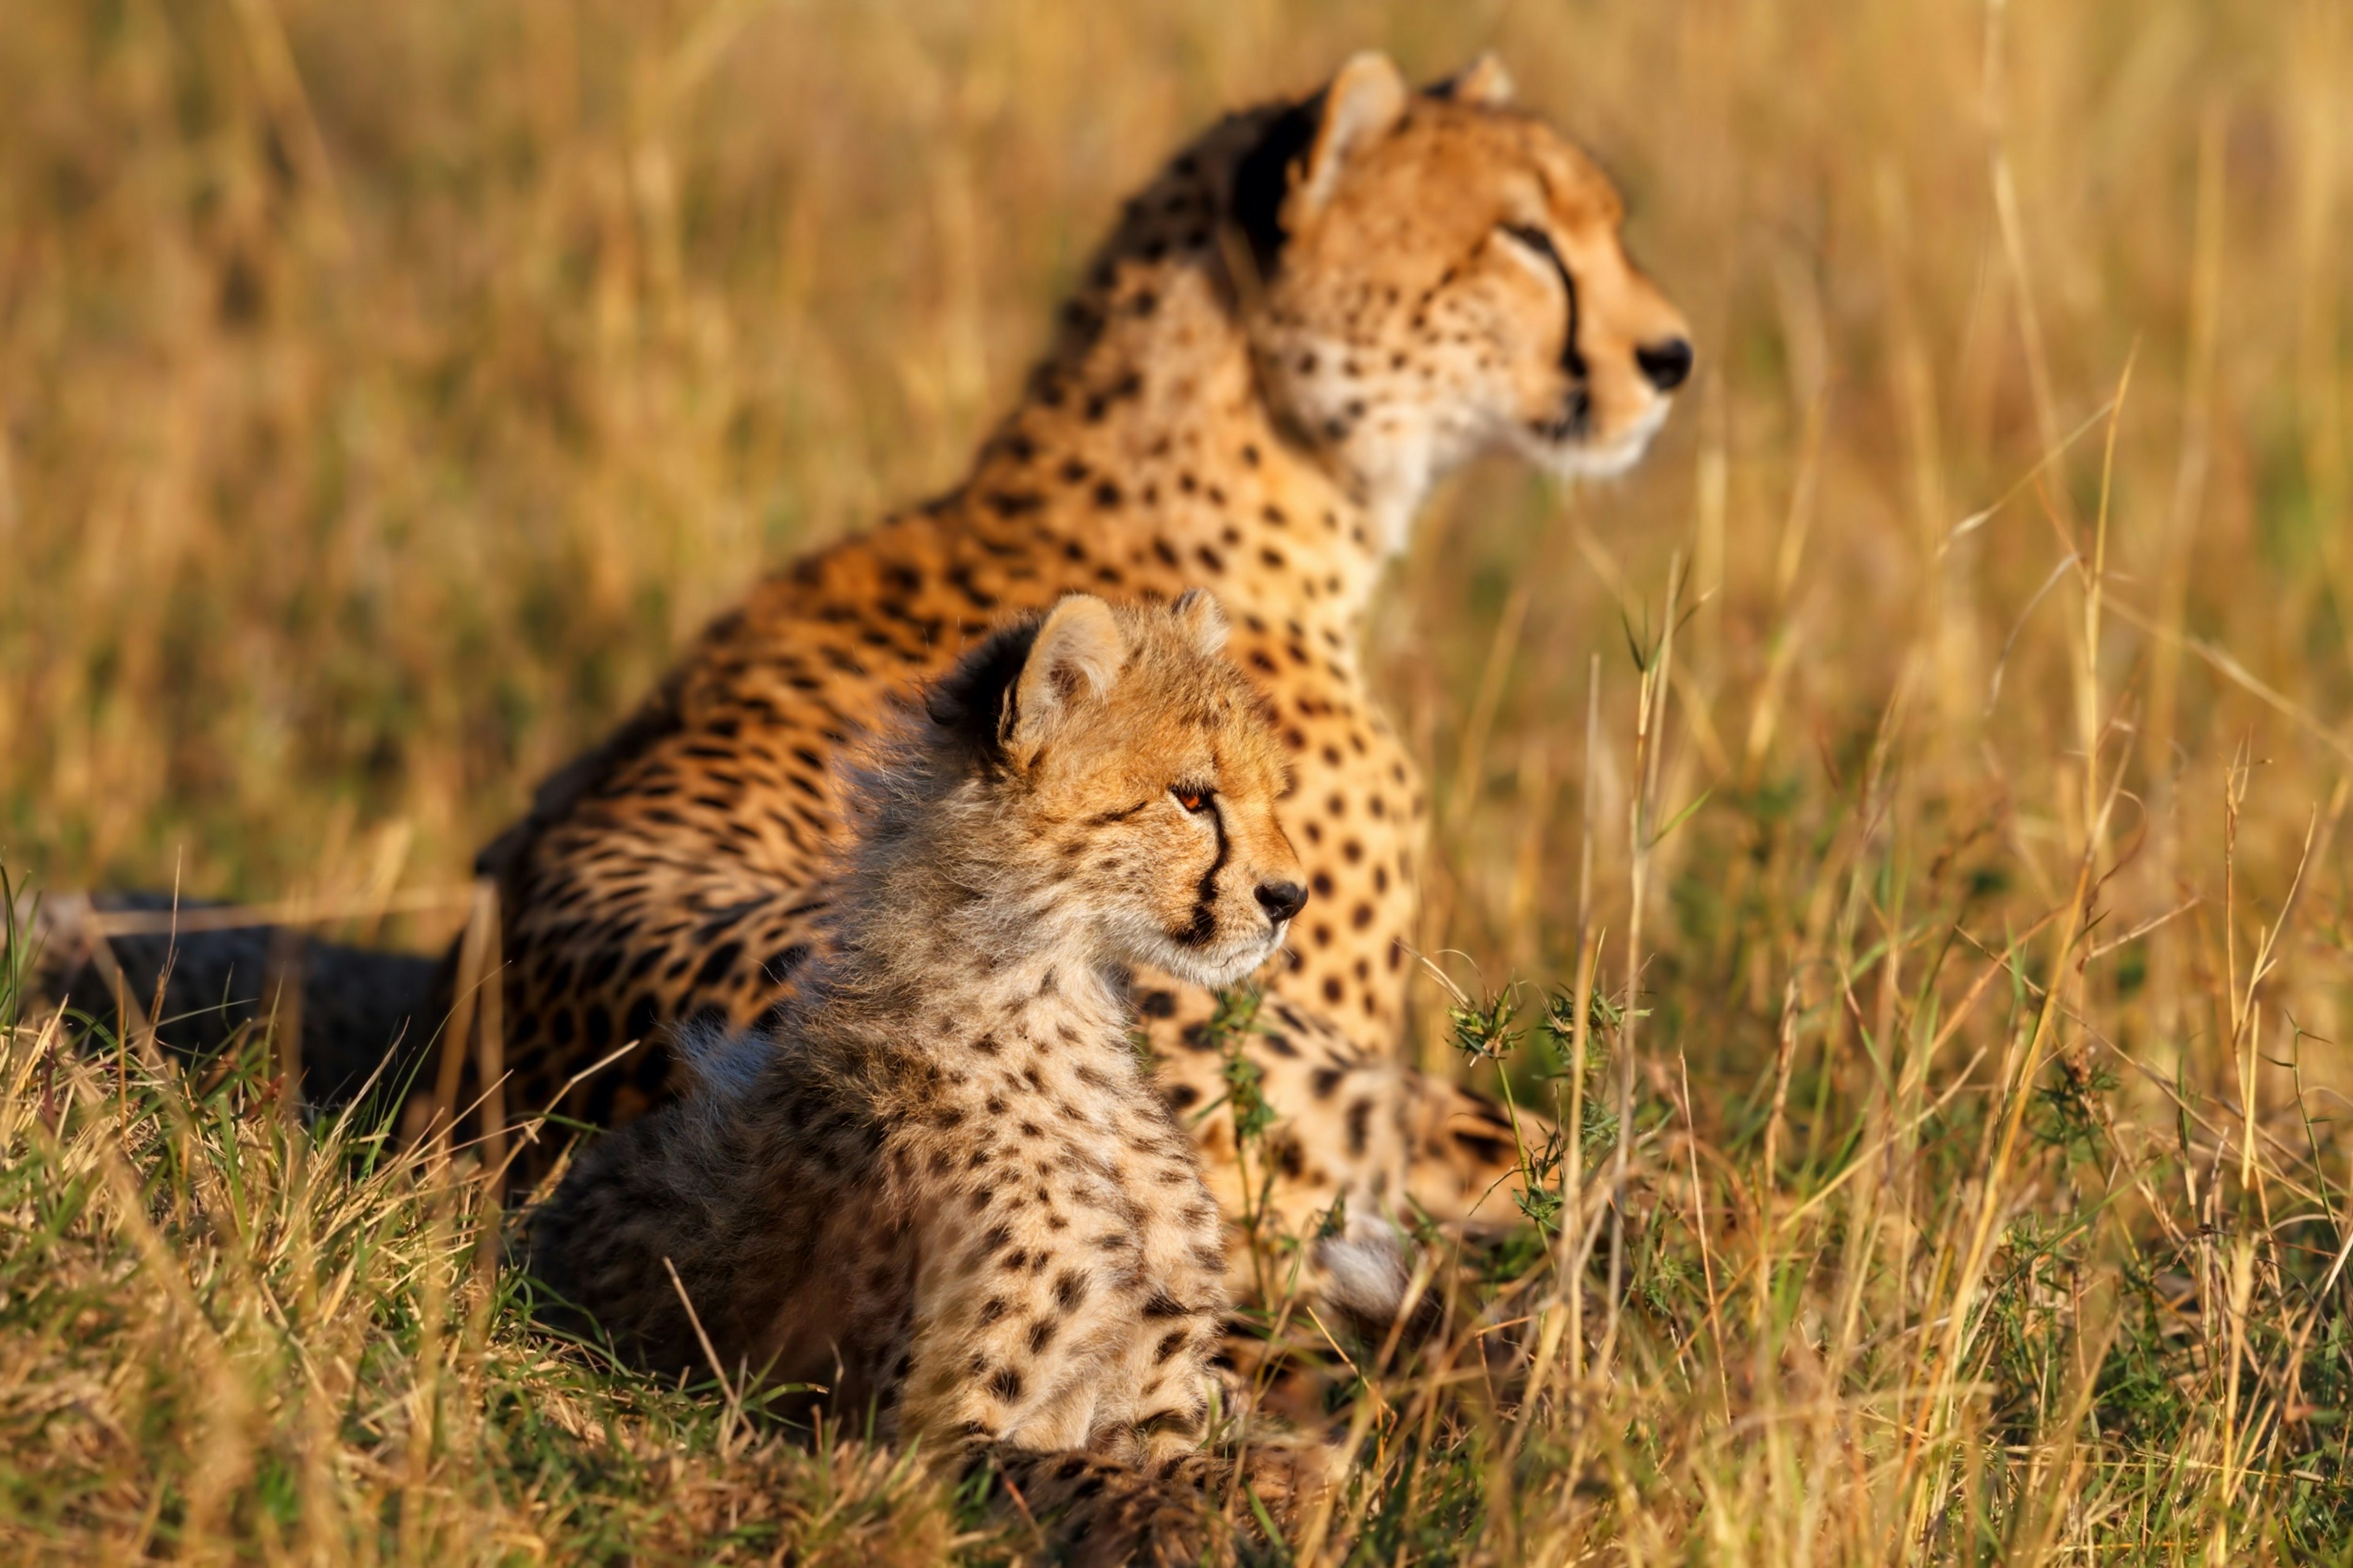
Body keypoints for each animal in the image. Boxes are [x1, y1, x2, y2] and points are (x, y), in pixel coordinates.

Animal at [534, 593, 1346, 1553]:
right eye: (1192, 798)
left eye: (1271, 793)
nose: (1290, 898)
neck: (1048, 991)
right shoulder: (918, 1434)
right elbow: (1088, 1477)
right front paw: (1185, 1520)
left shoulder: (1159, 1402)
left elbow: (1224, 1465)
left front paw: (1280, 1495)